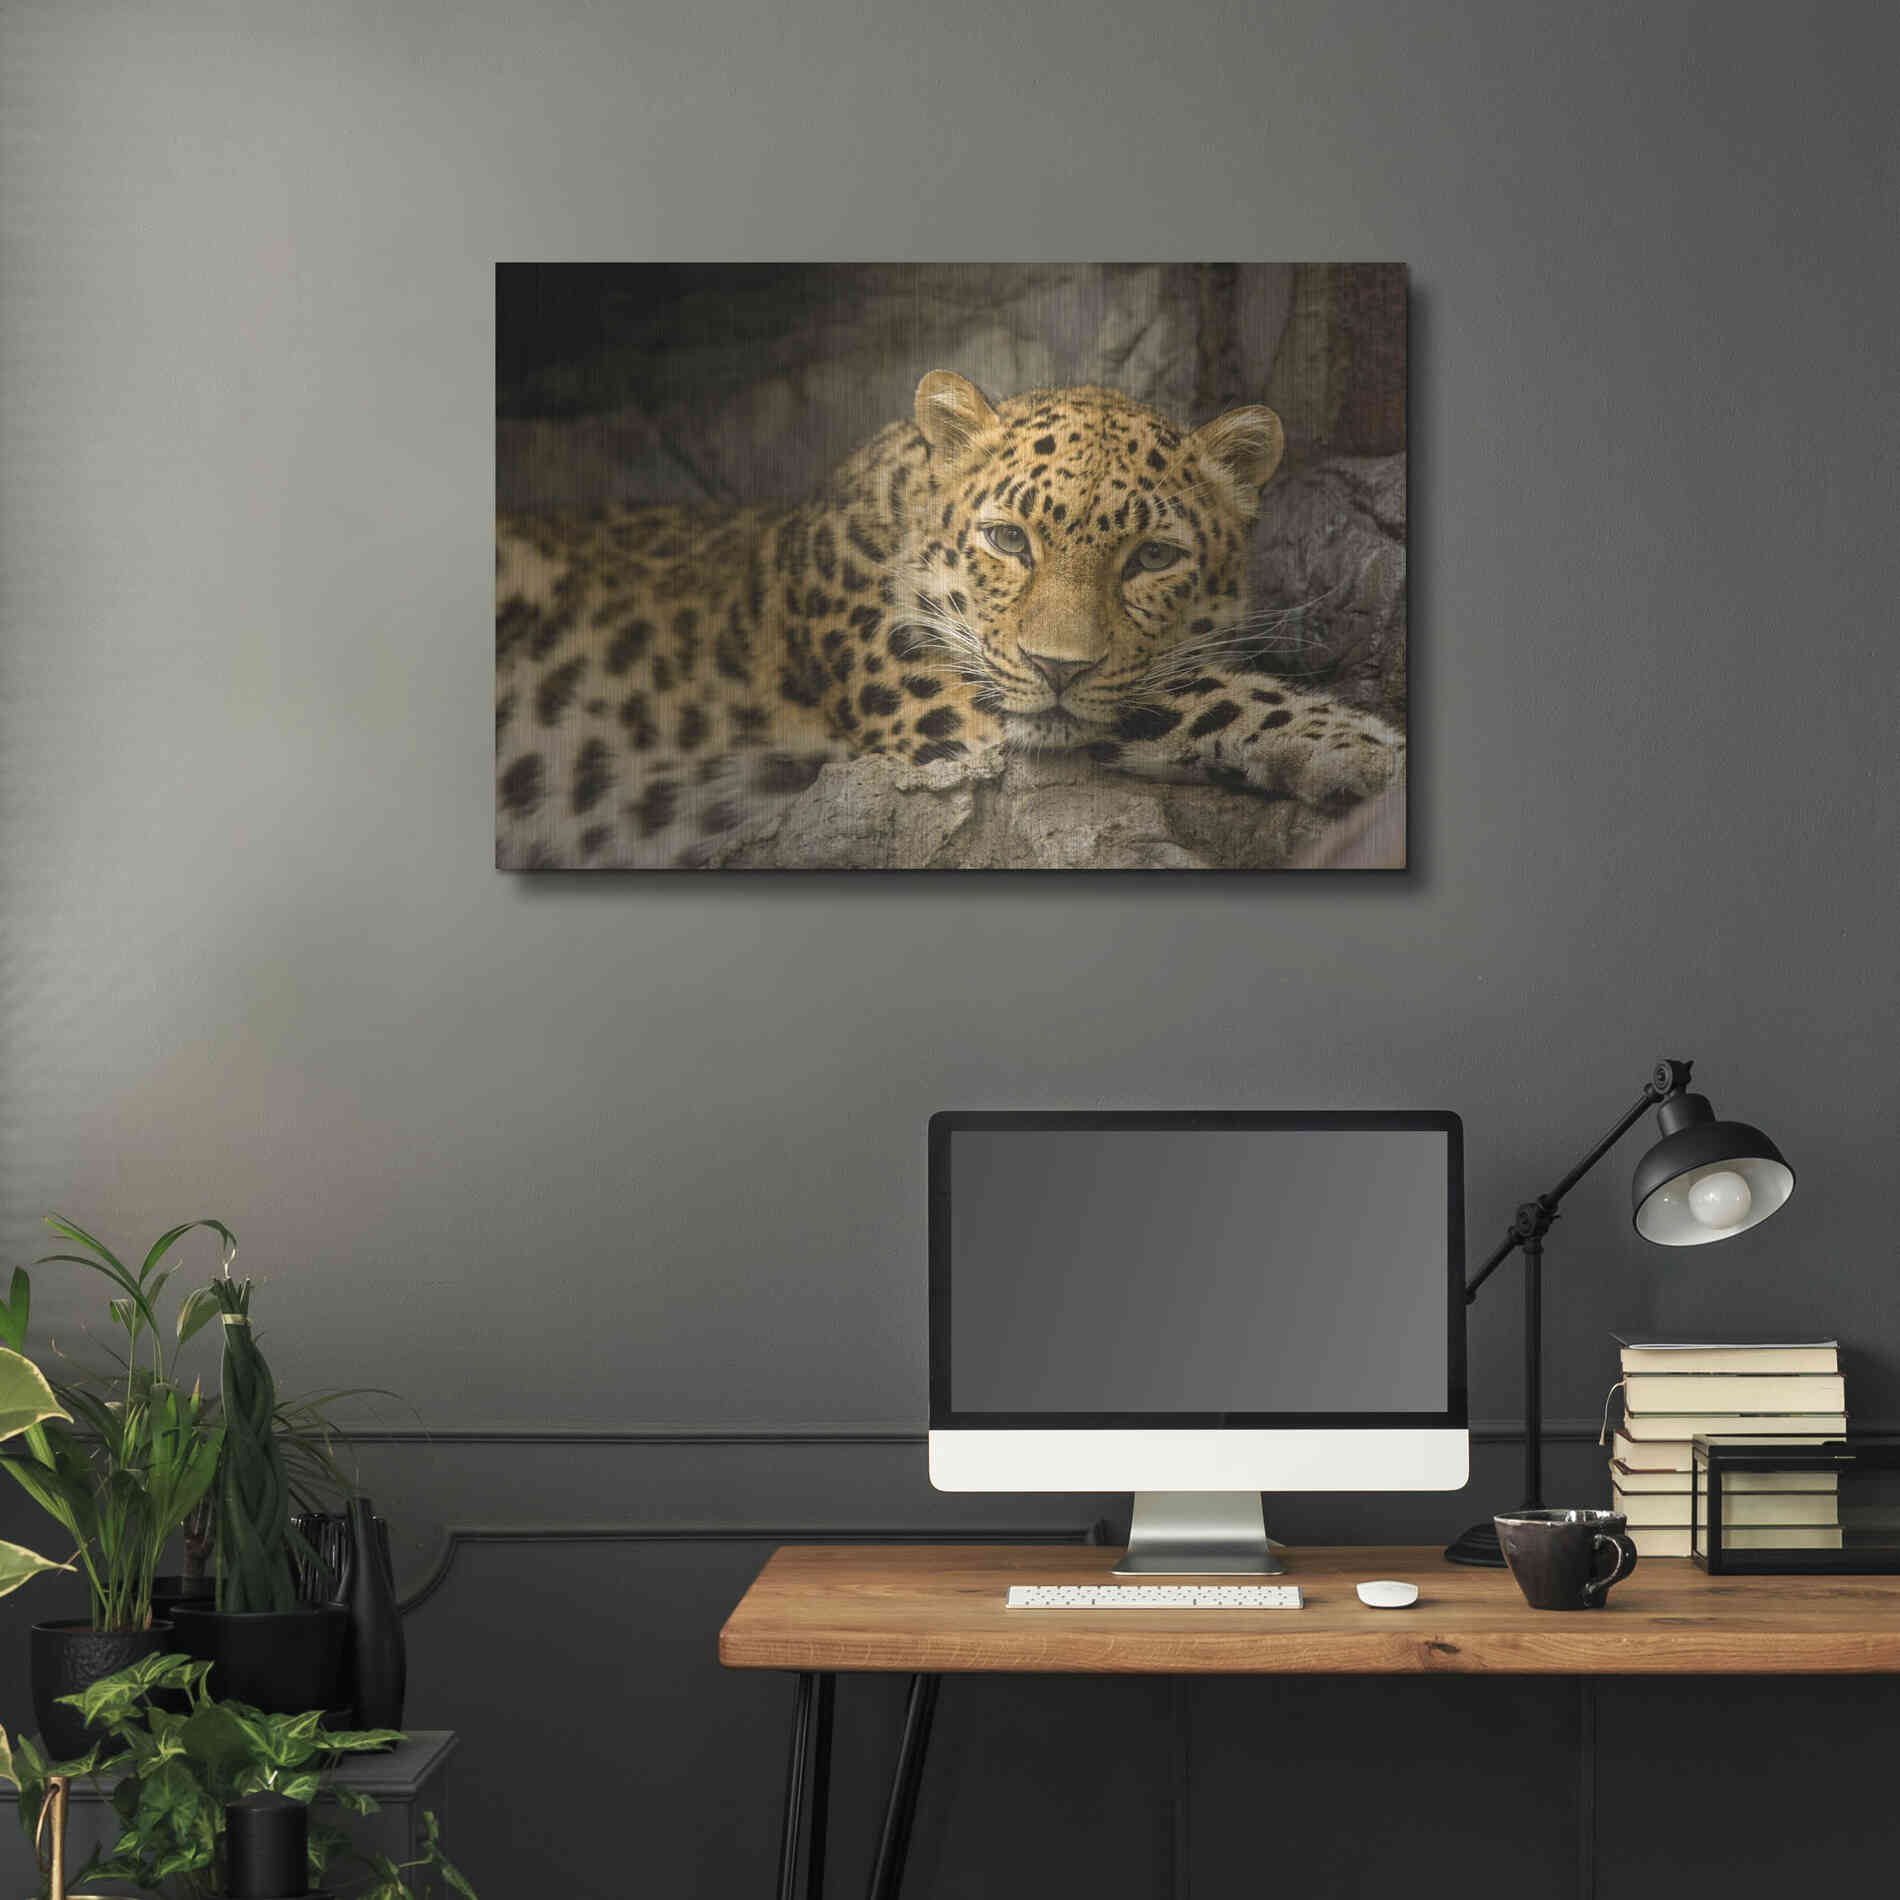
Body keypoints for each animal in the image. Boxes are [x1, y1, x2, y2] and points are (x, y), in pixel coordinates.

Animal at [496, 370, 1403, 868]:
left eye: (1152, 557)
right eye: (1008, 540)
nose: (1059, 667)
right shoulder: (950, 707)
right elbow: (1204, 694)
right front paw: (1368, 748)